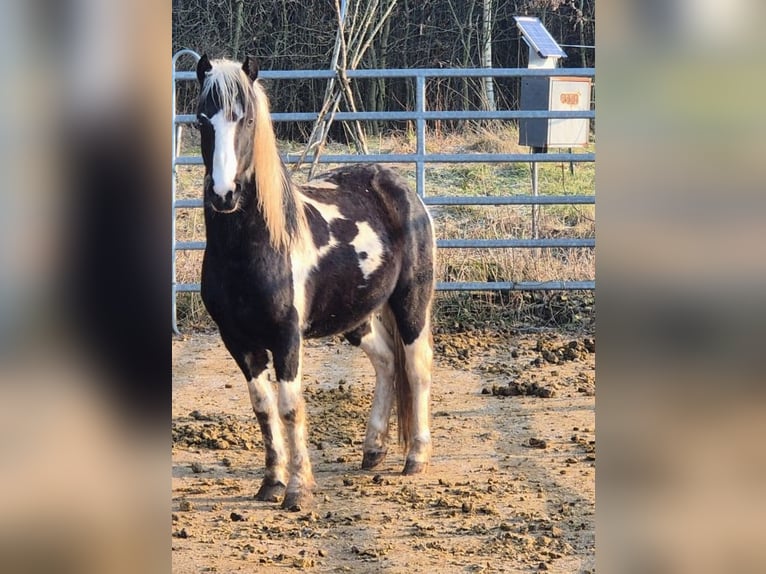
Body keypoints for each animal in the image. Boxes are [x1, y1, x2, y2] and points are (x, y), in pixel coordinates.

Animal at [196, 55, 438, 512]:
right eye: (202, 119)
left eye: (247, 118)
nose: (223, 194)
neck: (252, 250)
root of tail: (402, 190)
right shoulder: (237, 340)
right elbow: (263, 408)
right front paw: (271, 483)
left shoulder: (287, 337)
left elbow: (290, 407)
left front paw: (297, 490)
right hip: (357, 317)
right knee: (386, 361)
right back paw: (373, 449)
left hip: (411, 304)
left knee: (416, 368)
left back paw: (416, 457)